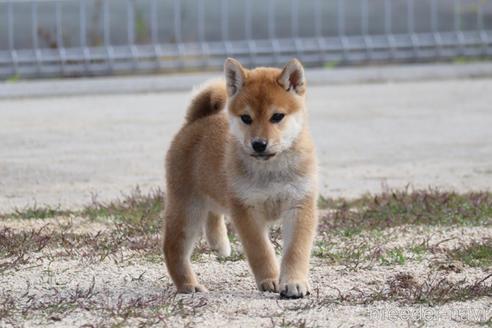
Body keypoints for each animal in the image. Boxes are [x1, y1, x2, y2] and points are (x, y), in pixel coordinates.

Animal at [163, 57, 320, 298]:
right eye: (246, 118)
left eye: (277, 116)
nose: (259, 144)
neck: (270, 169)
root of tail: (195, 121)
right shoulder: (245, 209)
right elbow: (261, 250)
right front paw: (270, 279)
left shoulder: (300, 203)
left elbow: (296, 250)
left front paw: (294, 282)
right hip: (188, 208)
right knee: (172, 248)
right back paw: (189, 285)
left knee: (213, 214)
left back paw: (219, 243)